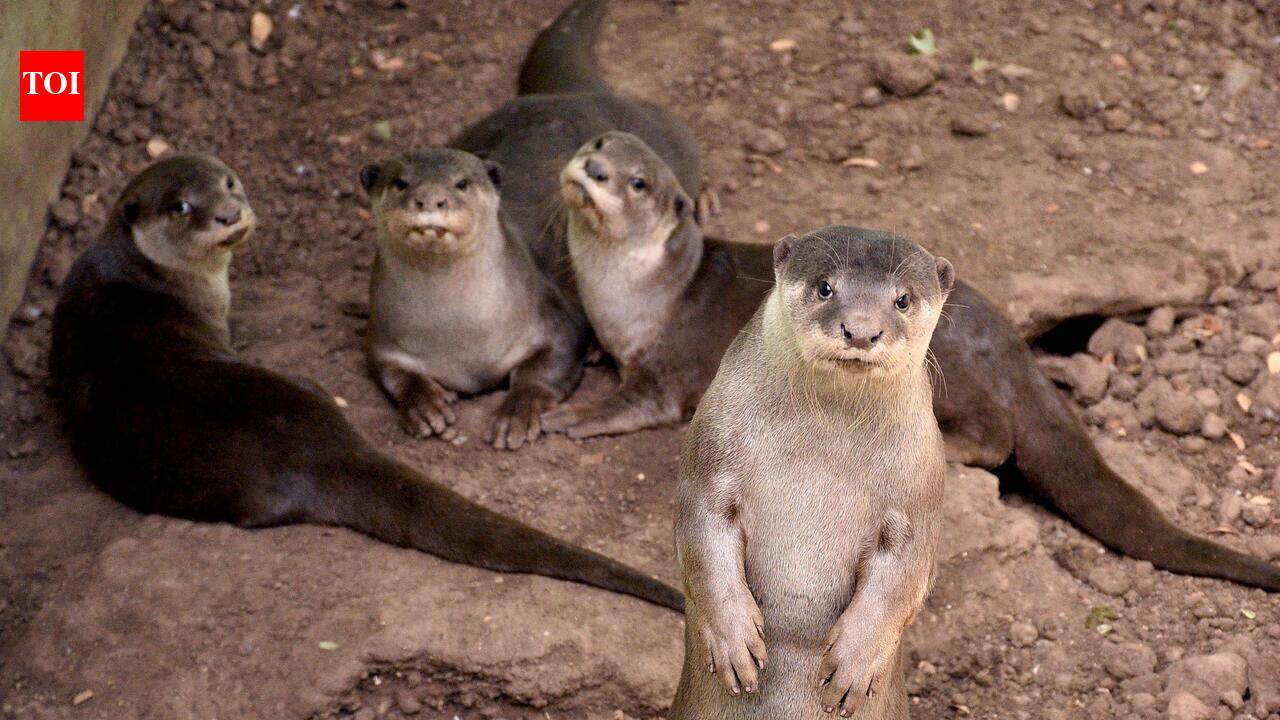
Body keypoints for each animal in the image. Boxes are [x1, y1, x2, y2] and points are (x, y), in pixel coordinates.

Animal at [360, 149, 588, 449]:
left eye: (461, 183)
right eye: (400, 182)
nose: (430, 199)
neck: (461, 335)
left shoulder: (558, 321)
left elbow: (543, 370)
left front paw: (517, 412)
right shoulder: (381, 335)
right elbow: (390, 371)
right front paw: (423, 405)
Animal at [555, 132, 1280, 592]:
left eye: (637, 182)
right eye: (596, 148)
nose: (593, 173)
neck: (636, 294)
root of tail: (1010, 349)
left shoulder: (666, 367)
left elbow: (636, 402)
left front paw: (569, 419)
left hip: (949, 377)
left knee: (995, 435)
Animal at [672, 227, 952, 719]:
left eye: (902, 299)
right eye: (825, 287)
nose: (861, 330)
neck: (821, 449)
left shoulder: (920, 494)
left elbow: (903, 579)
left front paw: (855, 662)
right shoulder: (710, 455)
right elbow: (701, 538)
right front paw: (732, 639)